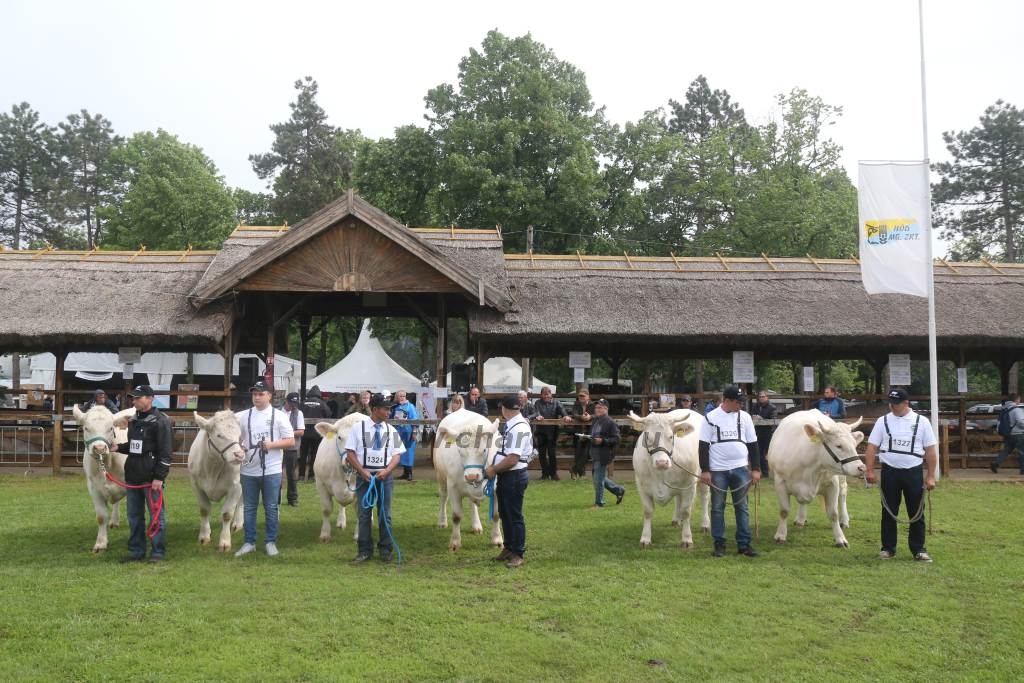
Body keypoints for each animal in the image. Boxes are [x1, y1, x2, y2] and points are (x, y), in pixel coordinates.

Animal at [74, 403, 137, 552]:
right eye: (86, 428)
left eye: (111, 428)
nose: (99, 448)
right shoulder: (93, 488)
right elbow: (101, 517)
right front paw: (101, 543)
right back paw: (114, 521)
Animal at [626, 409, 708, 548]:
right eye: (647, 437)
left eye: (671, 436)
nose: (662, 463)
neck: (660, 474)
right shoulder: (641, 485)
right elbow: (648, 511)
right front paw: (645, 538)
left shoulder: (690, 485)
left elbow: (686, 511)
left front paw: (687, 539)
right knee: (678, 500)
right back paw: (676, 519)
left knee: (704, 498)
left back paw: (705, 524)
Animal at [770, 409, 864, 548]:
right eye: (839, 446)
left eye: (854, 444)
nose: (862, 467)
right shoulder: (780, 482)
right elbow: (784, 510)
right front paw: (780, 535)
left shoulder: (832, 483)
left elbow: (833, 514)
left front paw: (840, 539)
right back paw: (800, 518)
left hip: (841, 478)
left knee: (843, 494)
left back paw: (845, 520)